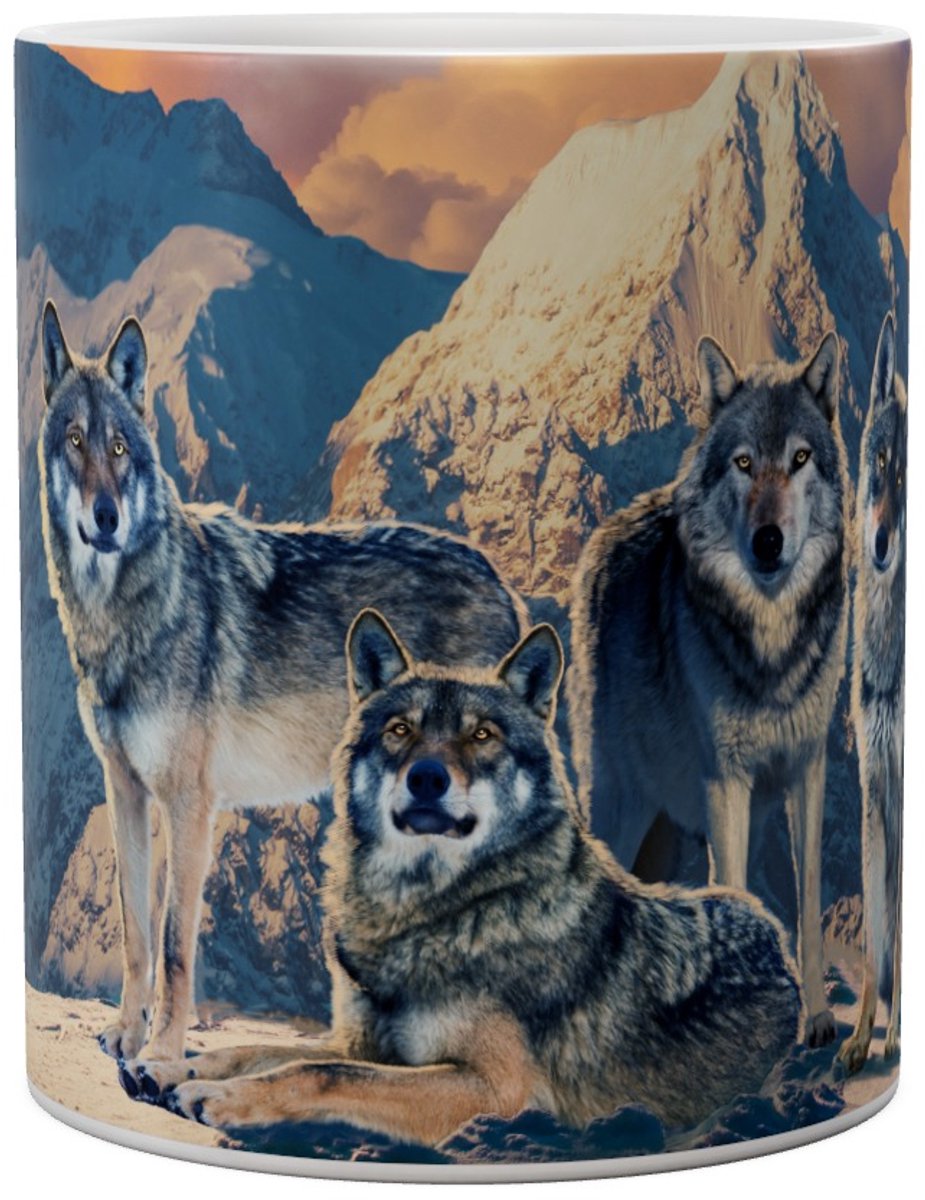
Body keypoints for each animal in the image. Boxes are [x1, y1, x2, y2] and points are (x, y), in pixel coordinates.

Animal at [38, 301, 525, 1071]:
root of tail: (501, 579)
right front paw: (126, 1037)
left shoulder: (190, 804)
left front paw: (164, 1052)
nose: (106, 519)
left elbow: (176, 944)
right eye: (76, 442)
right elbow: (138, 931)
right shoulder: (126, 791)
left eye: (119, 449)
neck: (124, 615)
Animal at [122, 610, 801, 1143]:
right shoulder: (361, 1042)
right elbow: (258, 1050)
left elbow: (315, 1070)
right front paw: (171, 1068)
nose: (427, 776)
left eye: (482, 734)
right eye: (401, 730)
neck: (425, 912)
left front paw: (220, 1098)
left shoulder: (493, 1088)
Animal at [569, 333, 847, 1046]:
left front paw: (816, 1018)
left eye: (800, 459)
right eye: (744, 463)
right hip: (622, 803)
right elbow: (737, 887)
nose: (769, 541)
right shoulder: (728, 781)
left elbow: (808, 902)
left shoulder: (807, 770)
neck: (770, 650)